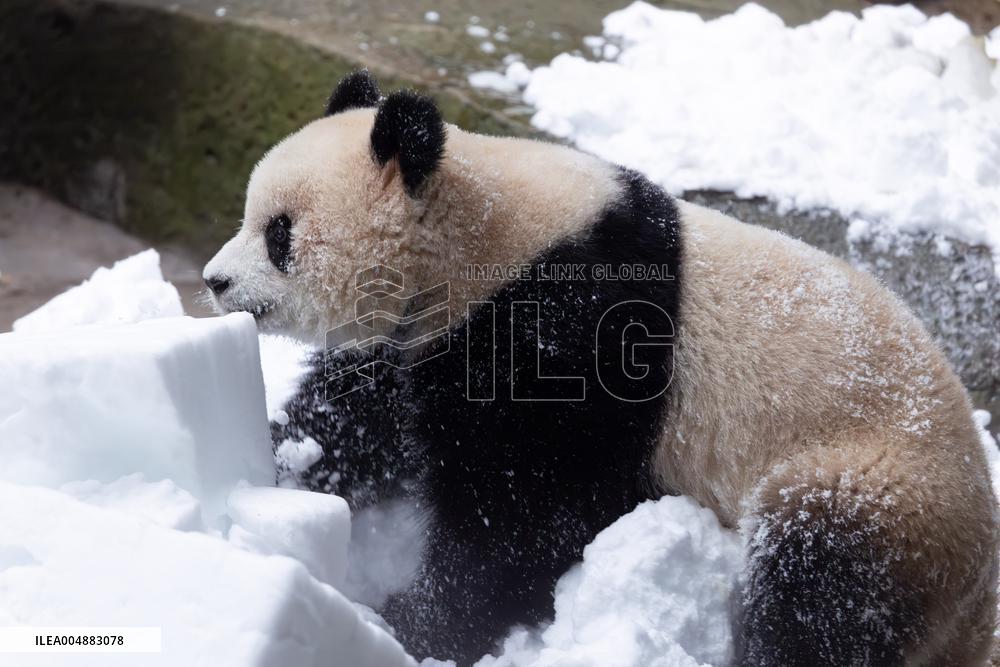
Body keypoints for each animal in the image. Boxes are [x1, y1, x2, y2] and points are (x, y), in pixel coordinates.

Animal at [204, 71, 998, 666]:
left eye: (279, 234)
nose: (214, 281)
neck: (477, 232)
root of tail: (977, 600)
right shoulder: (434, 338)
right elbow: (358, 418)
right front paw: (276, 467)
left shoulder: (572, 330)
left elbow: (524, 512)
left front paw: (404, 623)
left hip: (880, 486)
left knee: (820, 581)